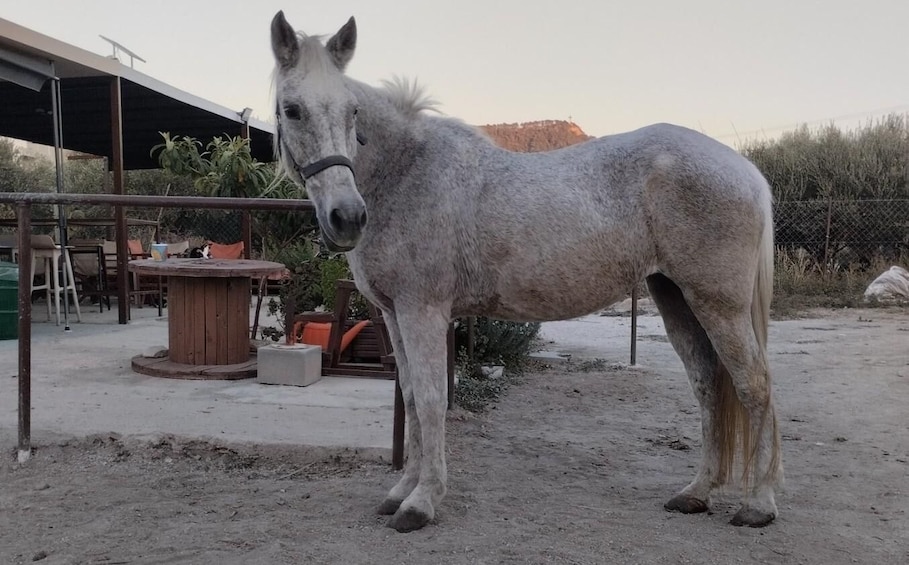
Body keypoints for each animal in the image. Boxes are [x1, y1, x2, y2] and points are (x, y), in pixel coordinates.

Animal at [269, 11, 783, 533]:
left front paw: (421, 503)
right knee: (707, 383)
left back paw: (758, 505)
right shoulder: (395, 315)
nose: (347, 217)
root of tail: (746, 170)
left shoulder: (423, 312)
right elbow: (412, 398)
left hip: (719, 304)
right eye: (291, 110)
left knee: (754, 386)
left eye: (353, 112)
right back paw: (696, 493)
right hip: (674, 297)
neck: (406, 172)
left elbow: (432, 401)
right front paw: (400, 492)